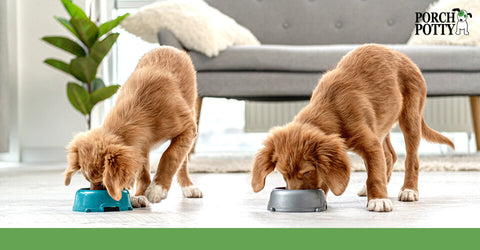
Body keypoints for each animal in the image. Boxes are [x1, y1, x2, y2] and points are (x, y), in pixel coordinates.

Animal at [62, 47, 202, 207]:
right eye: (88, 179)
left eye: (102, 182)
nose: (95, 194)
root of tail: (169, 48)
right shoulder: (141, 145)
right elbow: (142, 172)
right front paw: (138, 196)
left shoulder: (188, 128)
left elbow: (170, 155)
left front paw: (157, 188)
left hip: (191, 112)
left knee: (183, 160)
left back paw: (188, 186)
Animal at [253, 44, 456, 212]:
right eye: (283, 174)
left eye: (307, 171)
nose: (296, 198)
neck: (331, 108)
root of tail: (406, 58)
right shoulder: (372, 139)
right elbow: (376, 166)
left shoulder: (369, 143)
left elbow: (374, 174)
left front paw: (379, 200)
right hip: (382, 124)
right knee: (389, 155)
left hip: (410, 116)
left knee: (411, 159)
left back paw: (409, 190)